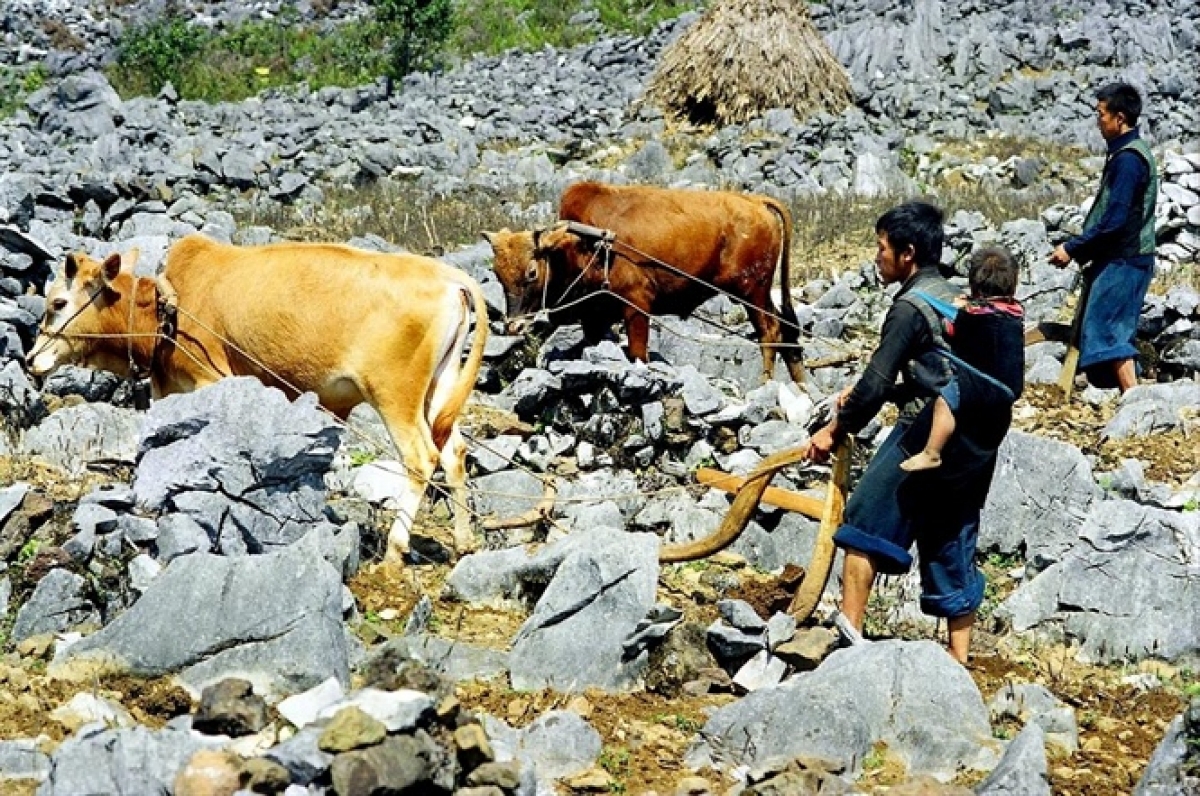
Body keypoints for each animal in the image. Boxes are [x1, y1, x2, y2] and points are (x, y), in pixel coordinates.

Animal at [28, 234, 487, 564]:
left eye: (58, 302)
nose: (32, 359)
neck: (163, 310)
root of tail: (450, 276)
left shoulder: (211, 380)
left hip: (395, 395)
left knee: (422, 459)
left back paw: (394, 551)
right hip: (436, 390)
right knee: (454, 452)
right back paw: (464, 540)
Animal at [484, 182, 806, 384]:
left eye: (531, 272)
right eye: (497, 274)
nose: (513, 326)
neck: (586, 245)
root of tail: (756, 201)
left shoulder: (636, 306)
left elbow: (638, 354)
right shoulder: (594, 318)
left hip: (752, 291)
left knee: (770, 331)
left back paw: (765, 384)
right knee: (786, 330)